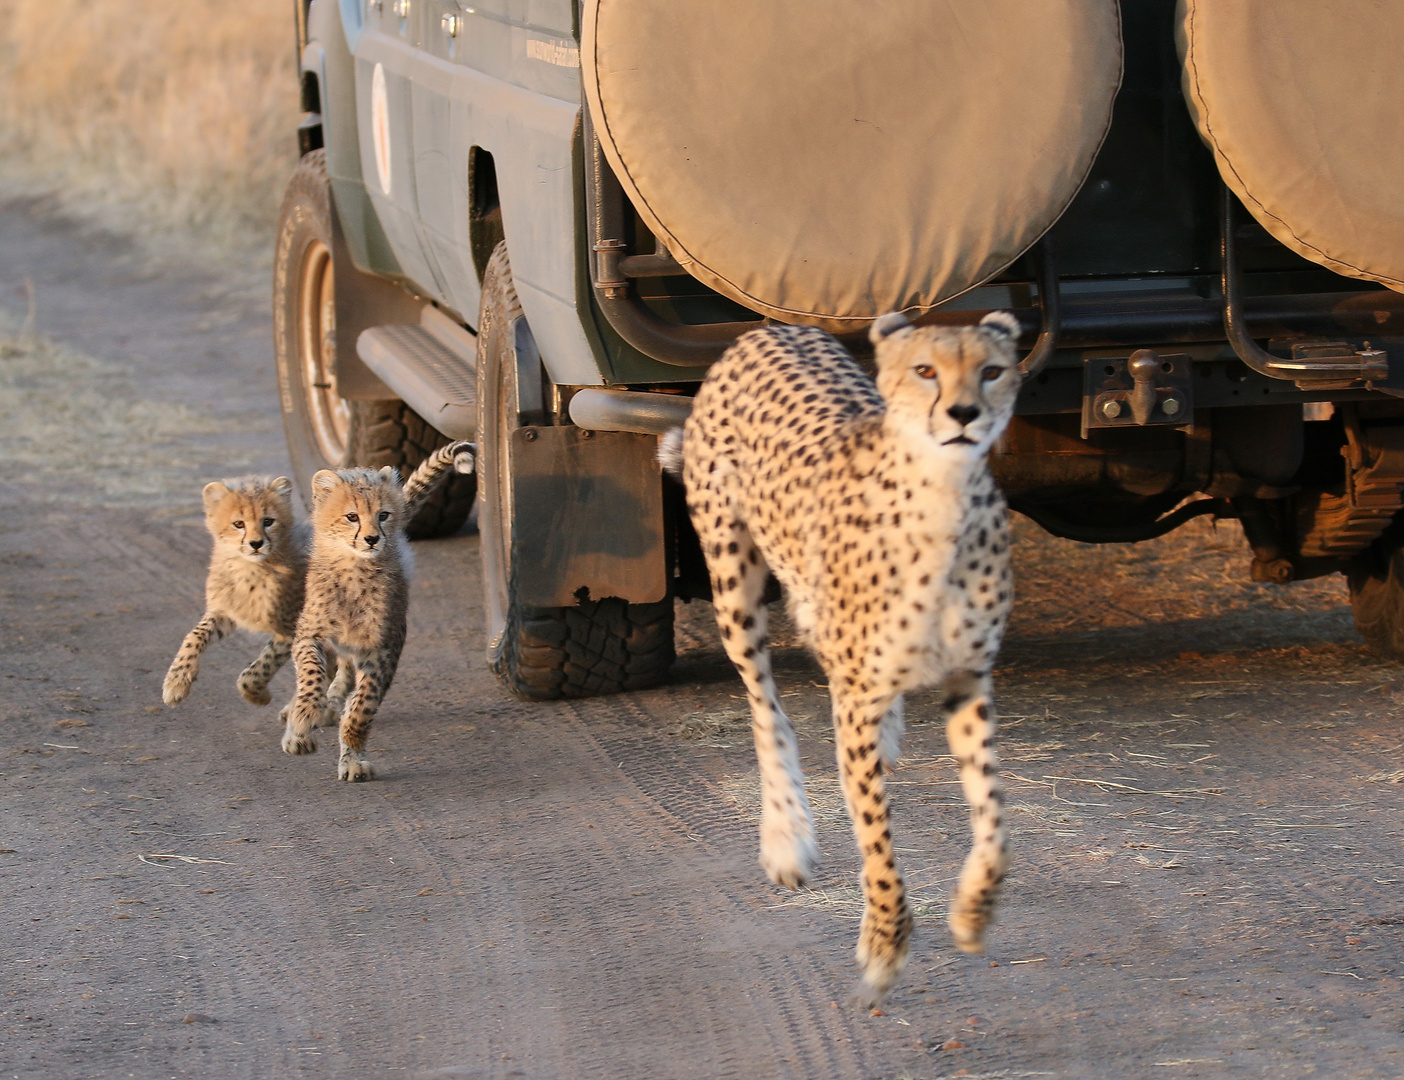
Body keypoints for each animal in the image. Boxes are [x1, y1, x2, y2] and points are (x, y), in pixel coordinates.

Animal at [671, 307, 1022, 999]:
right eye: (925, 370)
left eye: (992, 370)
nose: (964, 413)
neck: (941, 496)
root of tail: (768, 329)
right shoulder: (858, 697)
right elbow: (876, 837)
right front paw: (886, 944)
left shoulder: (971, 676)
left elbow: (994, 822)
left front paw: (973, 912)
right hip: (732, 581)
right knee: (765, 704)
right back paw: (786, 834)